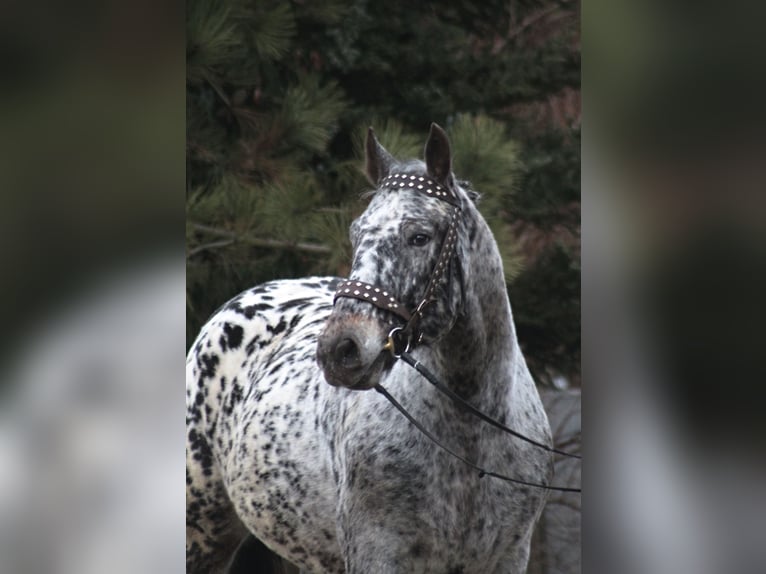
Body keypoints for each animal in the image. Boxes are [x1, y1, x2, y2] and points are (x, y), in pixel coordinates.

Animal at [186, 124, 554, 573]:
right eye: (357, 233)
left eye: (419, 236)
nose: (340, 350)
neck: (472, 441)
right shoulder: (378, 554)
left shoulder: (507, 557)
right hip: (202, 534)